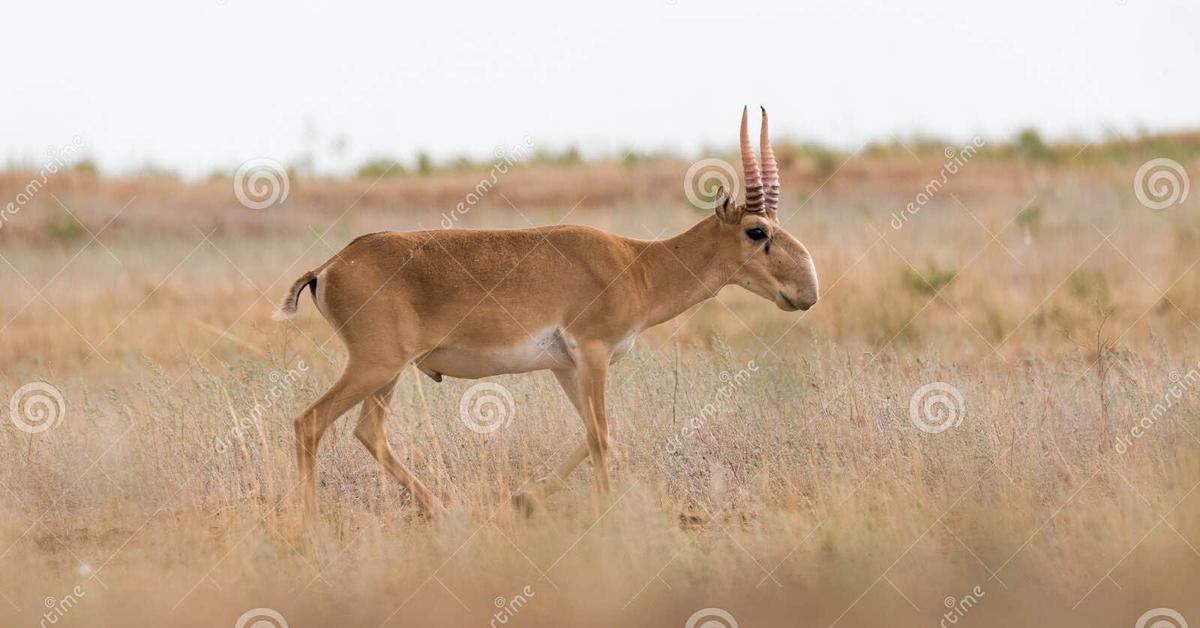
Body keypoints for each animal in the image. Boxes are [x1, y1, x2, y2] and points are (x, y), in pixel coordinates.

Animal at [279, 106, 820, 516]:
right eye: (756, 230)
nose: (807, 291)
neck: (636, 263)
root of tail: (329, 266)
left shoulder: (566, 366)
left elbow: (590, 433)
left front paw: (526, 498)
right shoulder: (594, 353)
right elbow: (601, 435)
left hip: (387, 374)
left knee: (367, 432)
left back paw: (443, 508)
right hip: (375, 366)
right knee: (310, 422)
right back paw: (312, 521)